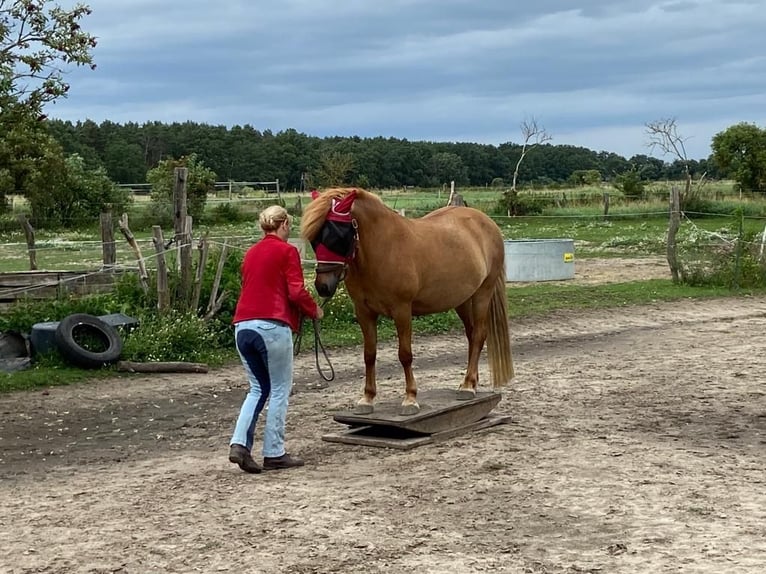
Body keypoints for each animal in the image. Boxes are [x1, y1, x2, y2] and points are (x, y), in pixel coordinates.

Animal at [302, 191, 516, 416]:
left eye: (337, 234)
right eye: (315, 239)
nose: (323, 287)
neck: (382, 250)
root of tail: (486, 222)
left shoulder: (402, 310)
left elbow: (405, 354)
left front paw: (410, 399)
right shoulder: (364, 312)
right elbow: (369, 354)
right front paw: (367, 398)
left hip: (483, 293)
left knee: (478, 335)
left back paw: (467, 386)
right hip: (462, 299)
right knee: (472, 334)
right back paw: (470, 383)